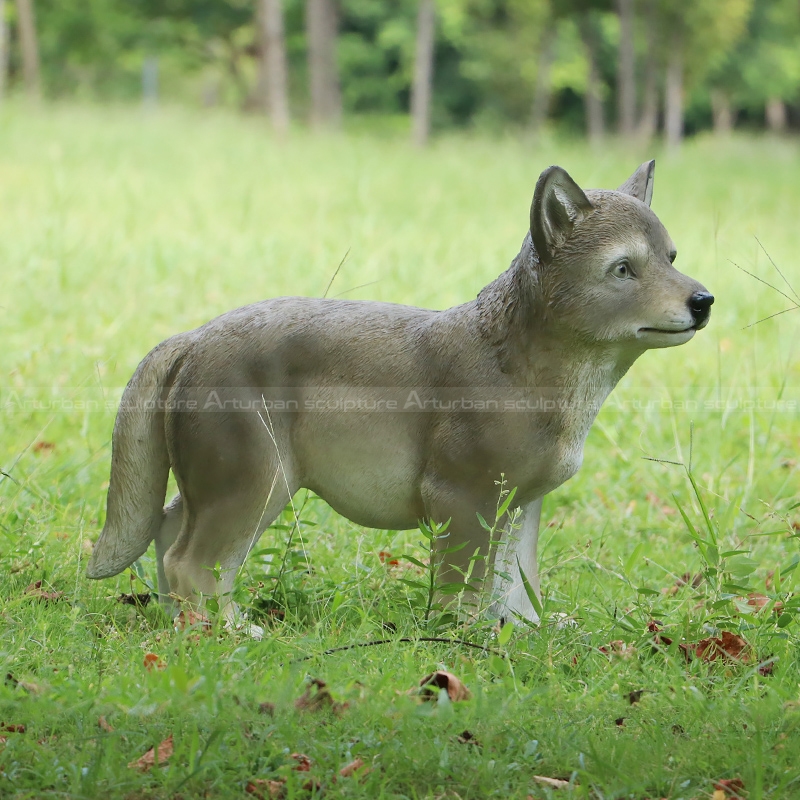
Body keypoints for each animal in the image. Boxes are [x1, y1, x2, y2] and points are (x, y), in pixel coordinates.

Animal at [87, 161, 713, 627]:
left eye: (671, 258)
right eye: (624, 269)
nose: (704, 301)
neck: (524, 368)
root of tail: (190, 338)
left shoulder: (521, 504)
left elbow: (518, 588)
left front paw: (525, 636)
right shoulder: (461, 498)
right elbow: (465, 590)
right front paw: (466, 641)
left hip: (217, 487)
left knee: (168, 536)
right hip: (256, 485)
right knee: (190, 562)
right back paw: (231, 632)